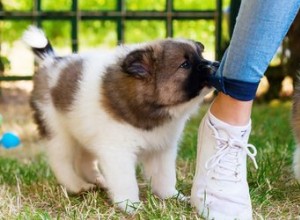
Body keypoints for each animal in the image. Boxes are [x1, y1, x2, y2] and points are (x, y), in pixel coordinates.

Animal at [21, 25, 218, 211]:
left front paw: (171, 196)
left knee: (84, 161)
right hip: (58, 132)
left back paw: (99, 180)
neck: (151, 109)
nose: (215, 64)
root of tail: (50, 60)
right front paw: (130, 205)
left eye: (201, 55)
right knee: (61, 162)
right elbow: (126, 181)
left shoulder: (161, 149)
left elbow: (165, 176)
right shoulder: (118, 152)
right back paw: (77, 185)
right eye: (185, 64)